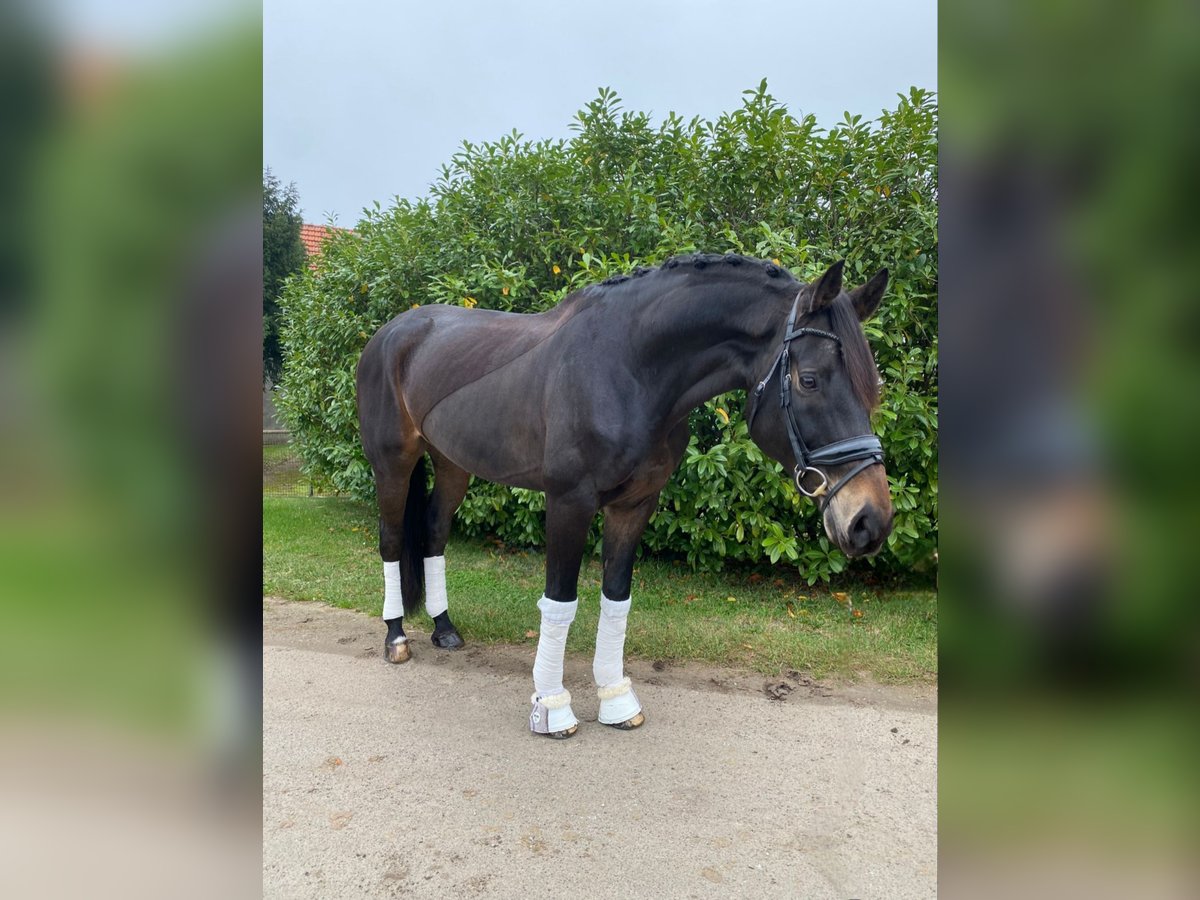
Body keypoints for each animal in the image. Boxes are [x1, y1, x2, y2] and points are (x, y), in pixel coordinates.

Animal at [355, 254, 892, 739]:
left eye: (874, 386)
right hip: (393, 464)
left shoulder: (635, 505)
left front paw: (617, 702)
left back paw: (444, 628)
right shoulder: (568, 502)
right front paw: (552, 707)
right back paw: (396, 637)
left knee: (433, 534)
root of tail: (393, 332)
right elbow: (560, 600)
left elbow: (616, 598)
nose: (870, 521)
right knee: (390, 540)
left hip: (452, 465)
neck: (629, 367)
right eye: (809, 380)